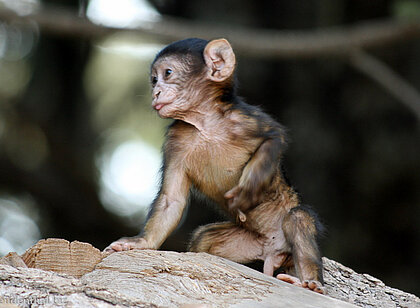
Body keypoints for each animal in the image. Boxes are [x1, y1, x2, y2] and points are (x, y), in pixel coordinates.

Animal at [106, 38, 324, 294]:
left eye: (167, 73)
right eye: (153, 79)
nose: (155, 92)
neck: (204, 122)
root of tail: (272, 251)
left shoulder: (243, 119)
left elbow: (274, 137)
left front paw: (249, 189)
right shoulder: (175, 141)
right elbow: (172, 200)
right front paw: (140, 242)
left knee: (298, 218)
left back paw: (309, 282)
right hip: (247, 242)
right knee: (204, 239)